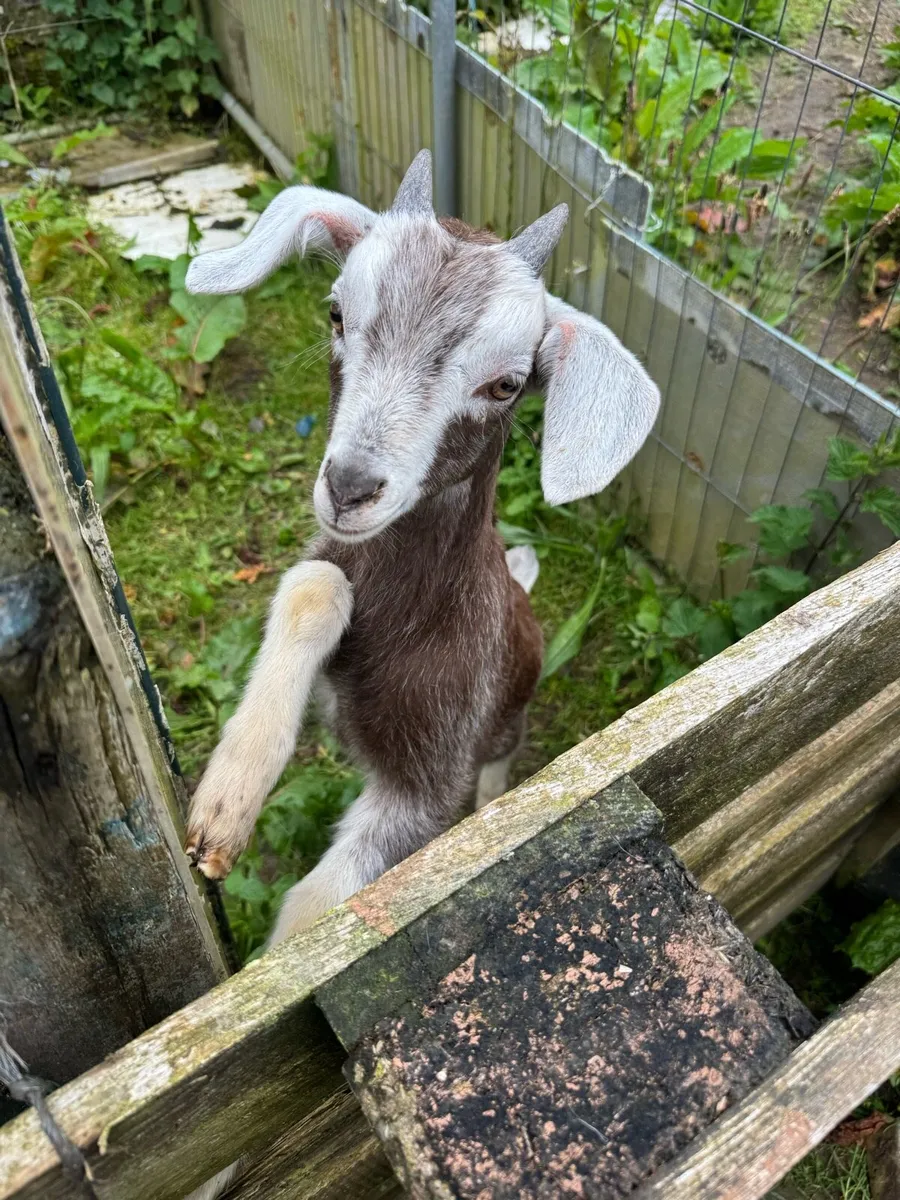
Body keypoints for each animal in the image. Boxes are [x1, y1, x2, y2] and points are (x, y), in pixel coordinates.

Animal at [183, 147, 658, 947]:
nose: (350, 488)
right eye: (337, 313)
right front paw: (226, 804)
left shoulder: (431, 784)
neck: (412, 619)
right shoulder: (331, 574)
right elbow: (313, 584)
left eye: (507, 383)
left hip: (506, 724)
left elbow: (318, 911)